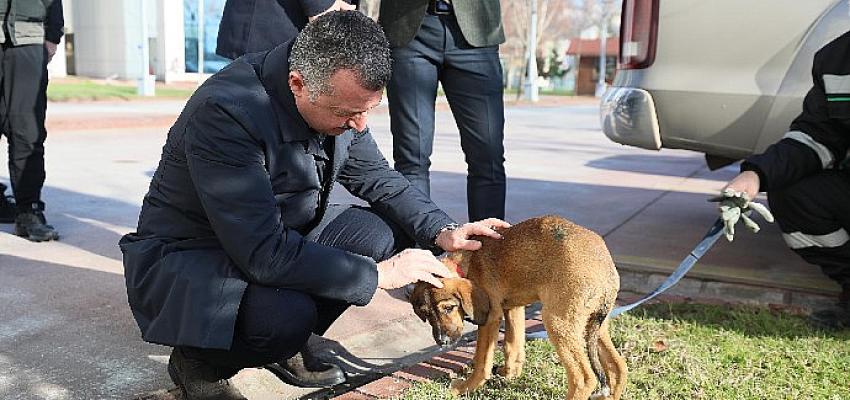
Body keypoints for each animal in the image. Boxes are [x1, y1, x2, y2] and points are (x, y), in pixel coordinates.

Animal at [408, 216, 628, 400]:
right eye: (426, 314)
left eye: (448, 308)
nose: (442, 342)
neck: (467, 260)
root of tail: (607, 270)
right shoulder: (514, 308)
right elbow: (512, 346)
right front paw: (509, 373)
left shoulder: (491, 316)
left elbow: (482, 362)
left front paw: (465, 388)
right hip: (592, 324)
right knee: (617, 367)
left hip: (559, 323)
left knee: (584, 378)